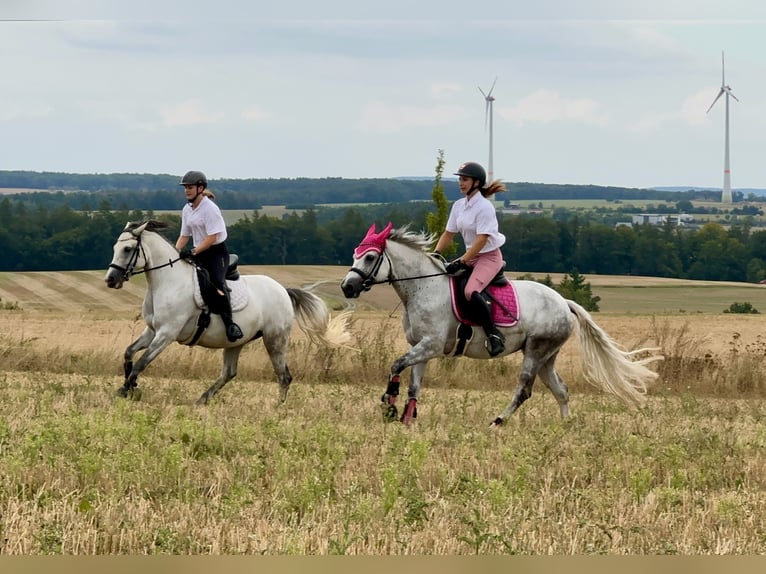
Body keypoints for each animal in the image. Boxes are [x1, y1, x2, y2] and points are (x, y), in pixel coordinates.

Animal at [105, 219, 352, 404]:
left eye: (127, 249)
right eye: (114, 248)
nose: (110, 280)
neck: (167, 282)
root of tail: (283, 289)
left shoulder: (166, 333)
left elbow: (141, 362)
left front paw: (128, 389)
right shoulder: (152, 330)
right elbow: (129, 353)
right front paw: (131, 387)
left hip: (275, 340)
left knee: (284, 376)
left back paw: (278, 408)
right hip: (236, 342)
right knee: (229, 372)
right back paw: (203, 399)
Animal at [340, 225, 664, 428]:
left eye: (370, 257)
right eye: (354, 253)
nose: (347, 287)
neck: (423, 288)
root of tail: (563, 302)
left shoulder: (430, 345)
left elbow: (396, 366)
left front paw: (389, 404)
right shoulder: (421, 347)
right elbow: (413, 384)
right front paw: (406, 417)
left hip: (535, 351)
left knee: (524, 390)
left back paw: (498, 421)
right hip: (547, 357)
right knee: (561, 390)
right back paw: (566, 426)